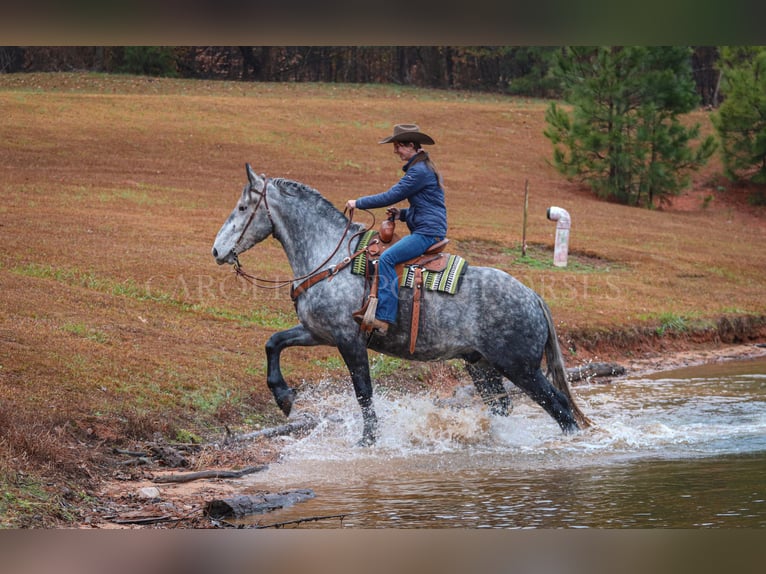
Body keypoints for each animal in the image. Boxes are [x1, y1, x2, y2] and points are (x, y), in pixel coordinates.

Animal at [216, 164, 592, 448]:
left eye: (243, 208)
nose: (217, 250)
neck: (332, 259)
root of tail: (533, 297)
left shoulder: (349, 341)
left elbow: (364, 392)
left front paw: (368, 440)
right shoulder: (318, 333)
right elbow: (274, 343)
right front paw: (283, 397)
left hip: (521, 368)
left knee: (560, 408)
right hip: (482, 365)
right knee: (502, 406)